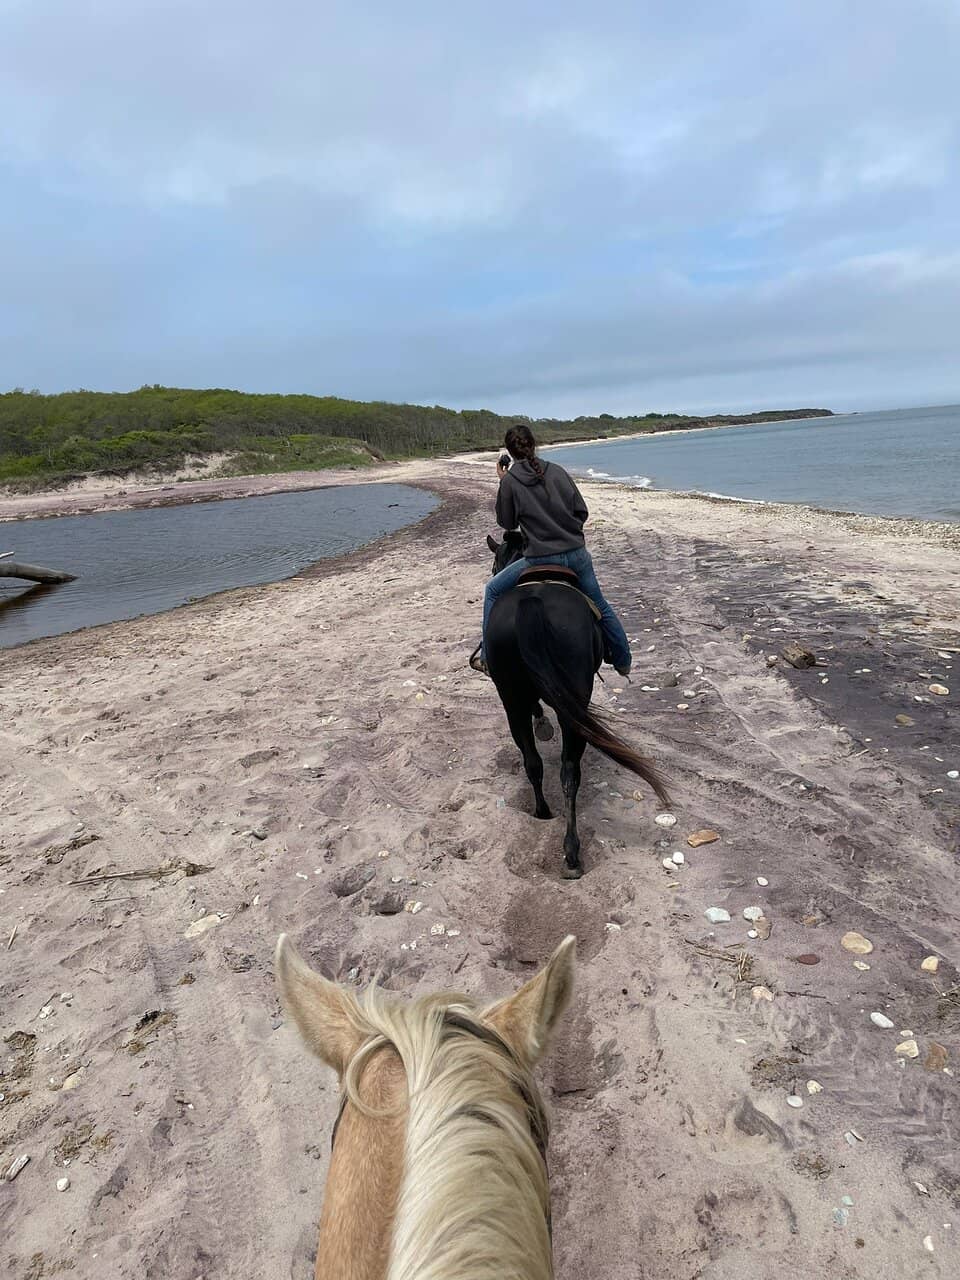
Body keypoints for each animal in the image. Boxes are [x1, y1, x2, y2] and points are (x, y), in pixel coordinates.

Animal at [484, 532, 669, 878]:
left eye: (493, 565)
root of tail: (532, 604)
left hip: (515, 700)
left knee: (540, 764)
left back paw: (548, 820)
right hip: (561, 704)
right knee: (563, 770)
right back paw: (567, 848)